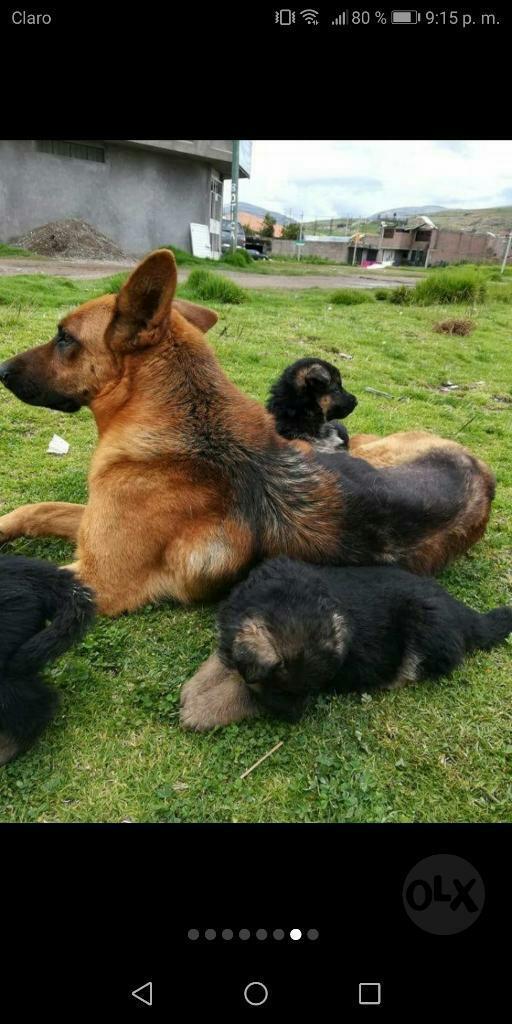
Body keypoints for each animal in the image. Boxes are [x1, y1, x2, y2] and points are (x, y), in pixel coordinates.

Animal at [0, 249, 495, 622]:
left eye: (65, 338)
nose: (2, 369)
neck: (187, 428)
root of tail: (484, 473)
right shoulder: (91, 529)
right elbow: (37, 508)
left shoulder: (99, 578)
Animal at [182, 557, 509, 733]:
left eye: (310, 690)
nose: (295, 719)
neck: (280, 598)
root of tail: (465, 615)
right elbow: (222, 660)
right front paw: (196, 687)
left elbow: (242, 692)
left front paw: (200, 709)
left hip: (425, 627)